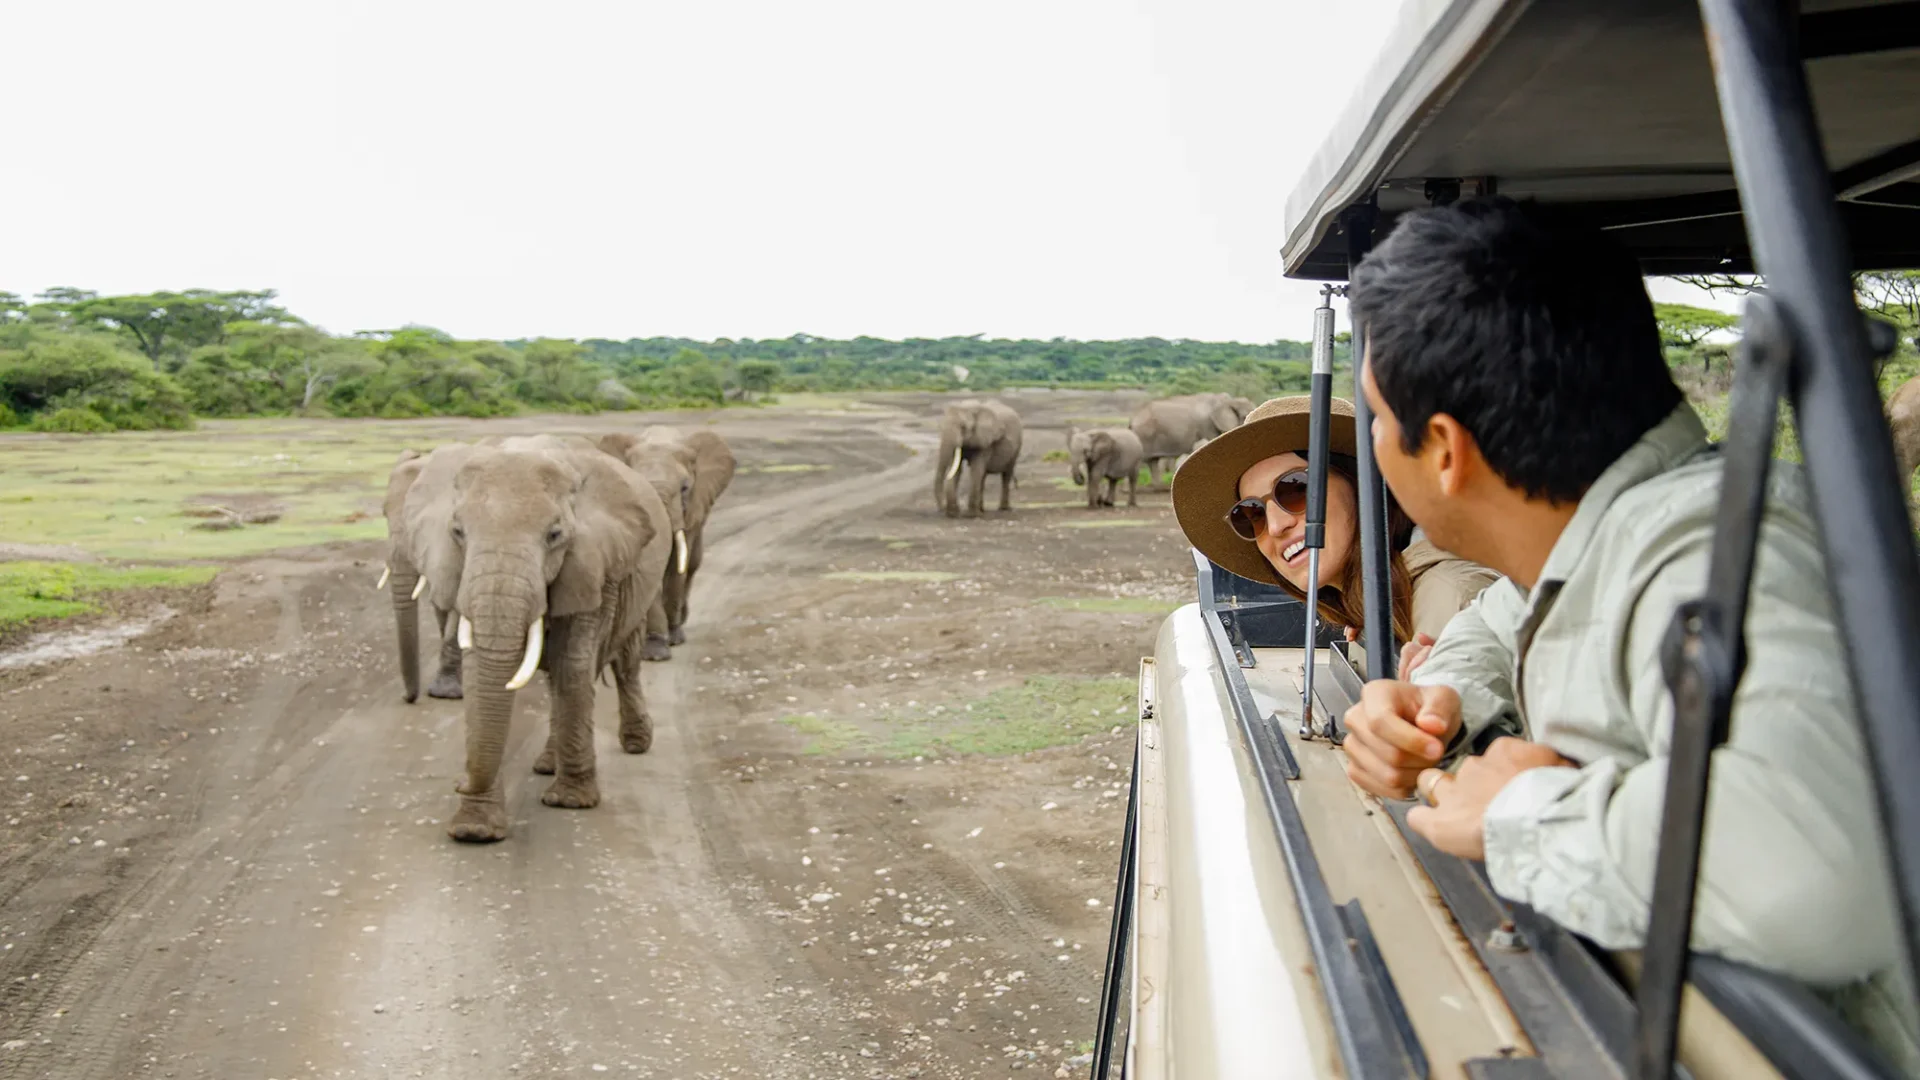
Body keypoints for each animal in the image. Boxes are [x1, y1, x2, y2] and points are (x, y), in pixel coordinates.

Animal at [417, 441, 672, 843]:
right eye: (457, 531)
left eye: (554, 535)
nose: (460, 783)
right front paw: (475, 829)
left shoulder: (592, 565)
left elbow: (573, 665)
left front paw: (571, 803)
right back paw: (548, 764)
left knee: (625, 662)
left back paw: (634, 744)